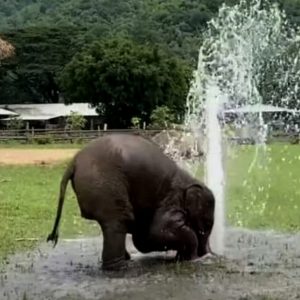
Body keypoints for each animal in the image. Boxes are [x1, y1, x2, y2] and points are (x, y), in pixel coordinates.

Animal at [47, 134, 216, 270]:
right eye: (207, 226)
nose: (209, 256)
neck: (189, 180)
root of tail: (73, 162)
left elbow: (143, 238)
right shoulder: (172, 199)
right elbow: (157, 231)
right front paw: (192, 259)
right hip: (105, 185)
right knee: (119, 220)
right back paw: (122, 266)